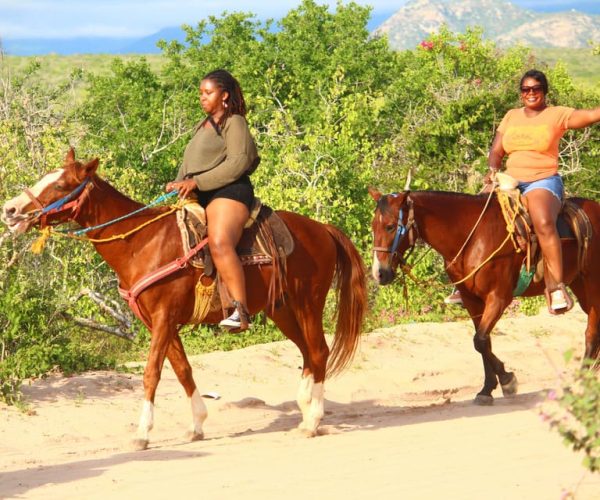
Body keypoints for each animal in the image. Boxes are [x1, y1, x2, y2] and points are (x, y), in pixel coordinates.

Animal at [1, 148, 366, 450]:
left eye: (61, 185)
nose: (11, 209)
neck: (142, 243)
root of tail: (322, 229)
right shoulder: (160, 321)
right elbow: (182, 370)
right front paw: (197, 425)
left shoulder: (164, 317)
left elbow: (152, 373)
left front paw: (142, 433)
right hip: (283, 310)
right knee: (307, 354)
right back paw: (305, 411)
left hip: (308, 303)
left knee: (318, 351)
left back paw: (313, 420)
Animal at [368, 188, 600, 406]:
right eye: (373, 227)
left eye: (390, 226)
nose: (379, 273)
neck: (472, 236)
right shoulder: (472, 301)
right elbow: (483, 342)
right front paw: (487, 389)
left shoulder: (499, 298)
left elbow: (479, 340)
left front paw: (507, 380)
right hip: (580, 284)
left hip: (592, 284)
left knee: (591, 331)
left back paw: (583, 380)